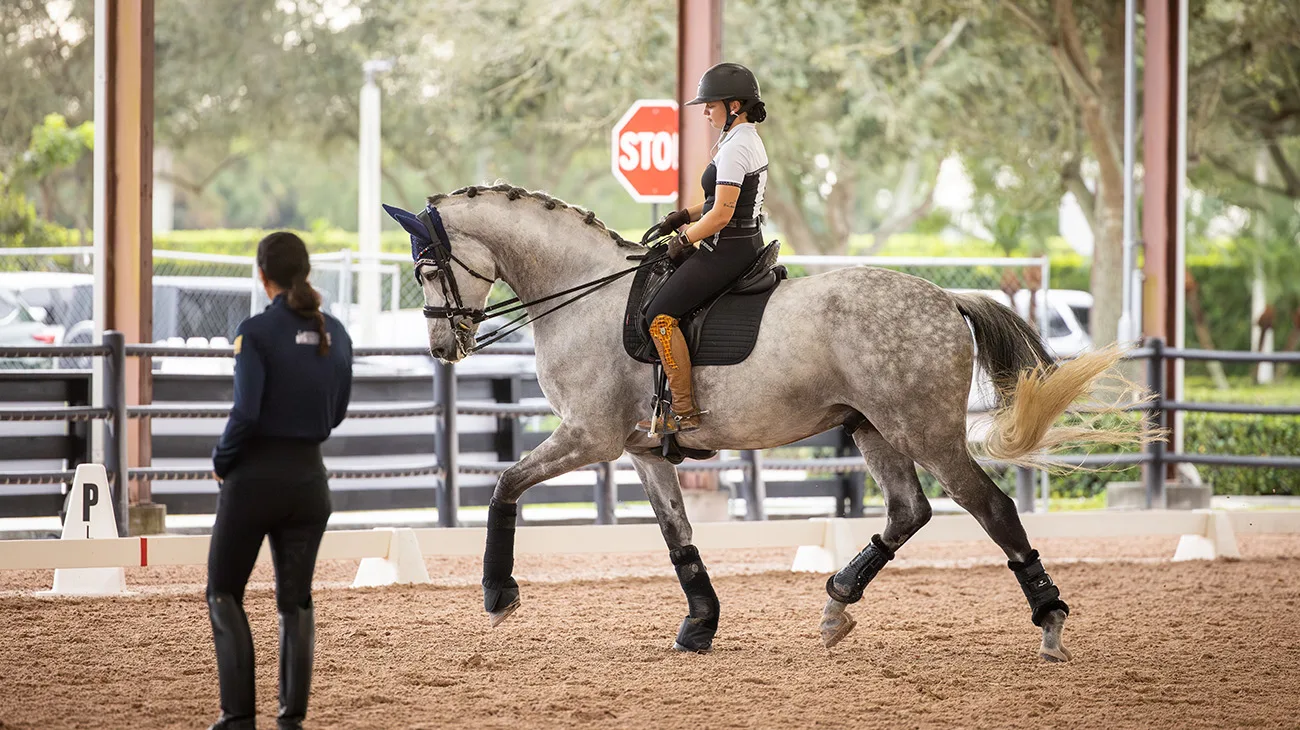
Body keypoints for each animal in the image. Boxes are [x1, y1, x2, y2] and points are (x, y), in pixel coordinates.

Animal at [390, 181, 1144, 659]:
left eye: (426, 270)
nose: (442, 346)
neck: (583, 295)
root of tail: (944, 297)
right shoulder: (643, 450)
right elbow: (678, 536)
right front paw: (700, 626)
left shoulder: (590, 437)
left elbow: (505, 485)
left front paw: (498, 593)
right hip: (872, 429)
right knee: (909, 511)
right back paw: (837, 603)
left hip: (923, 430)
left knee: (990, 507)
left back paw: (1050, 622)